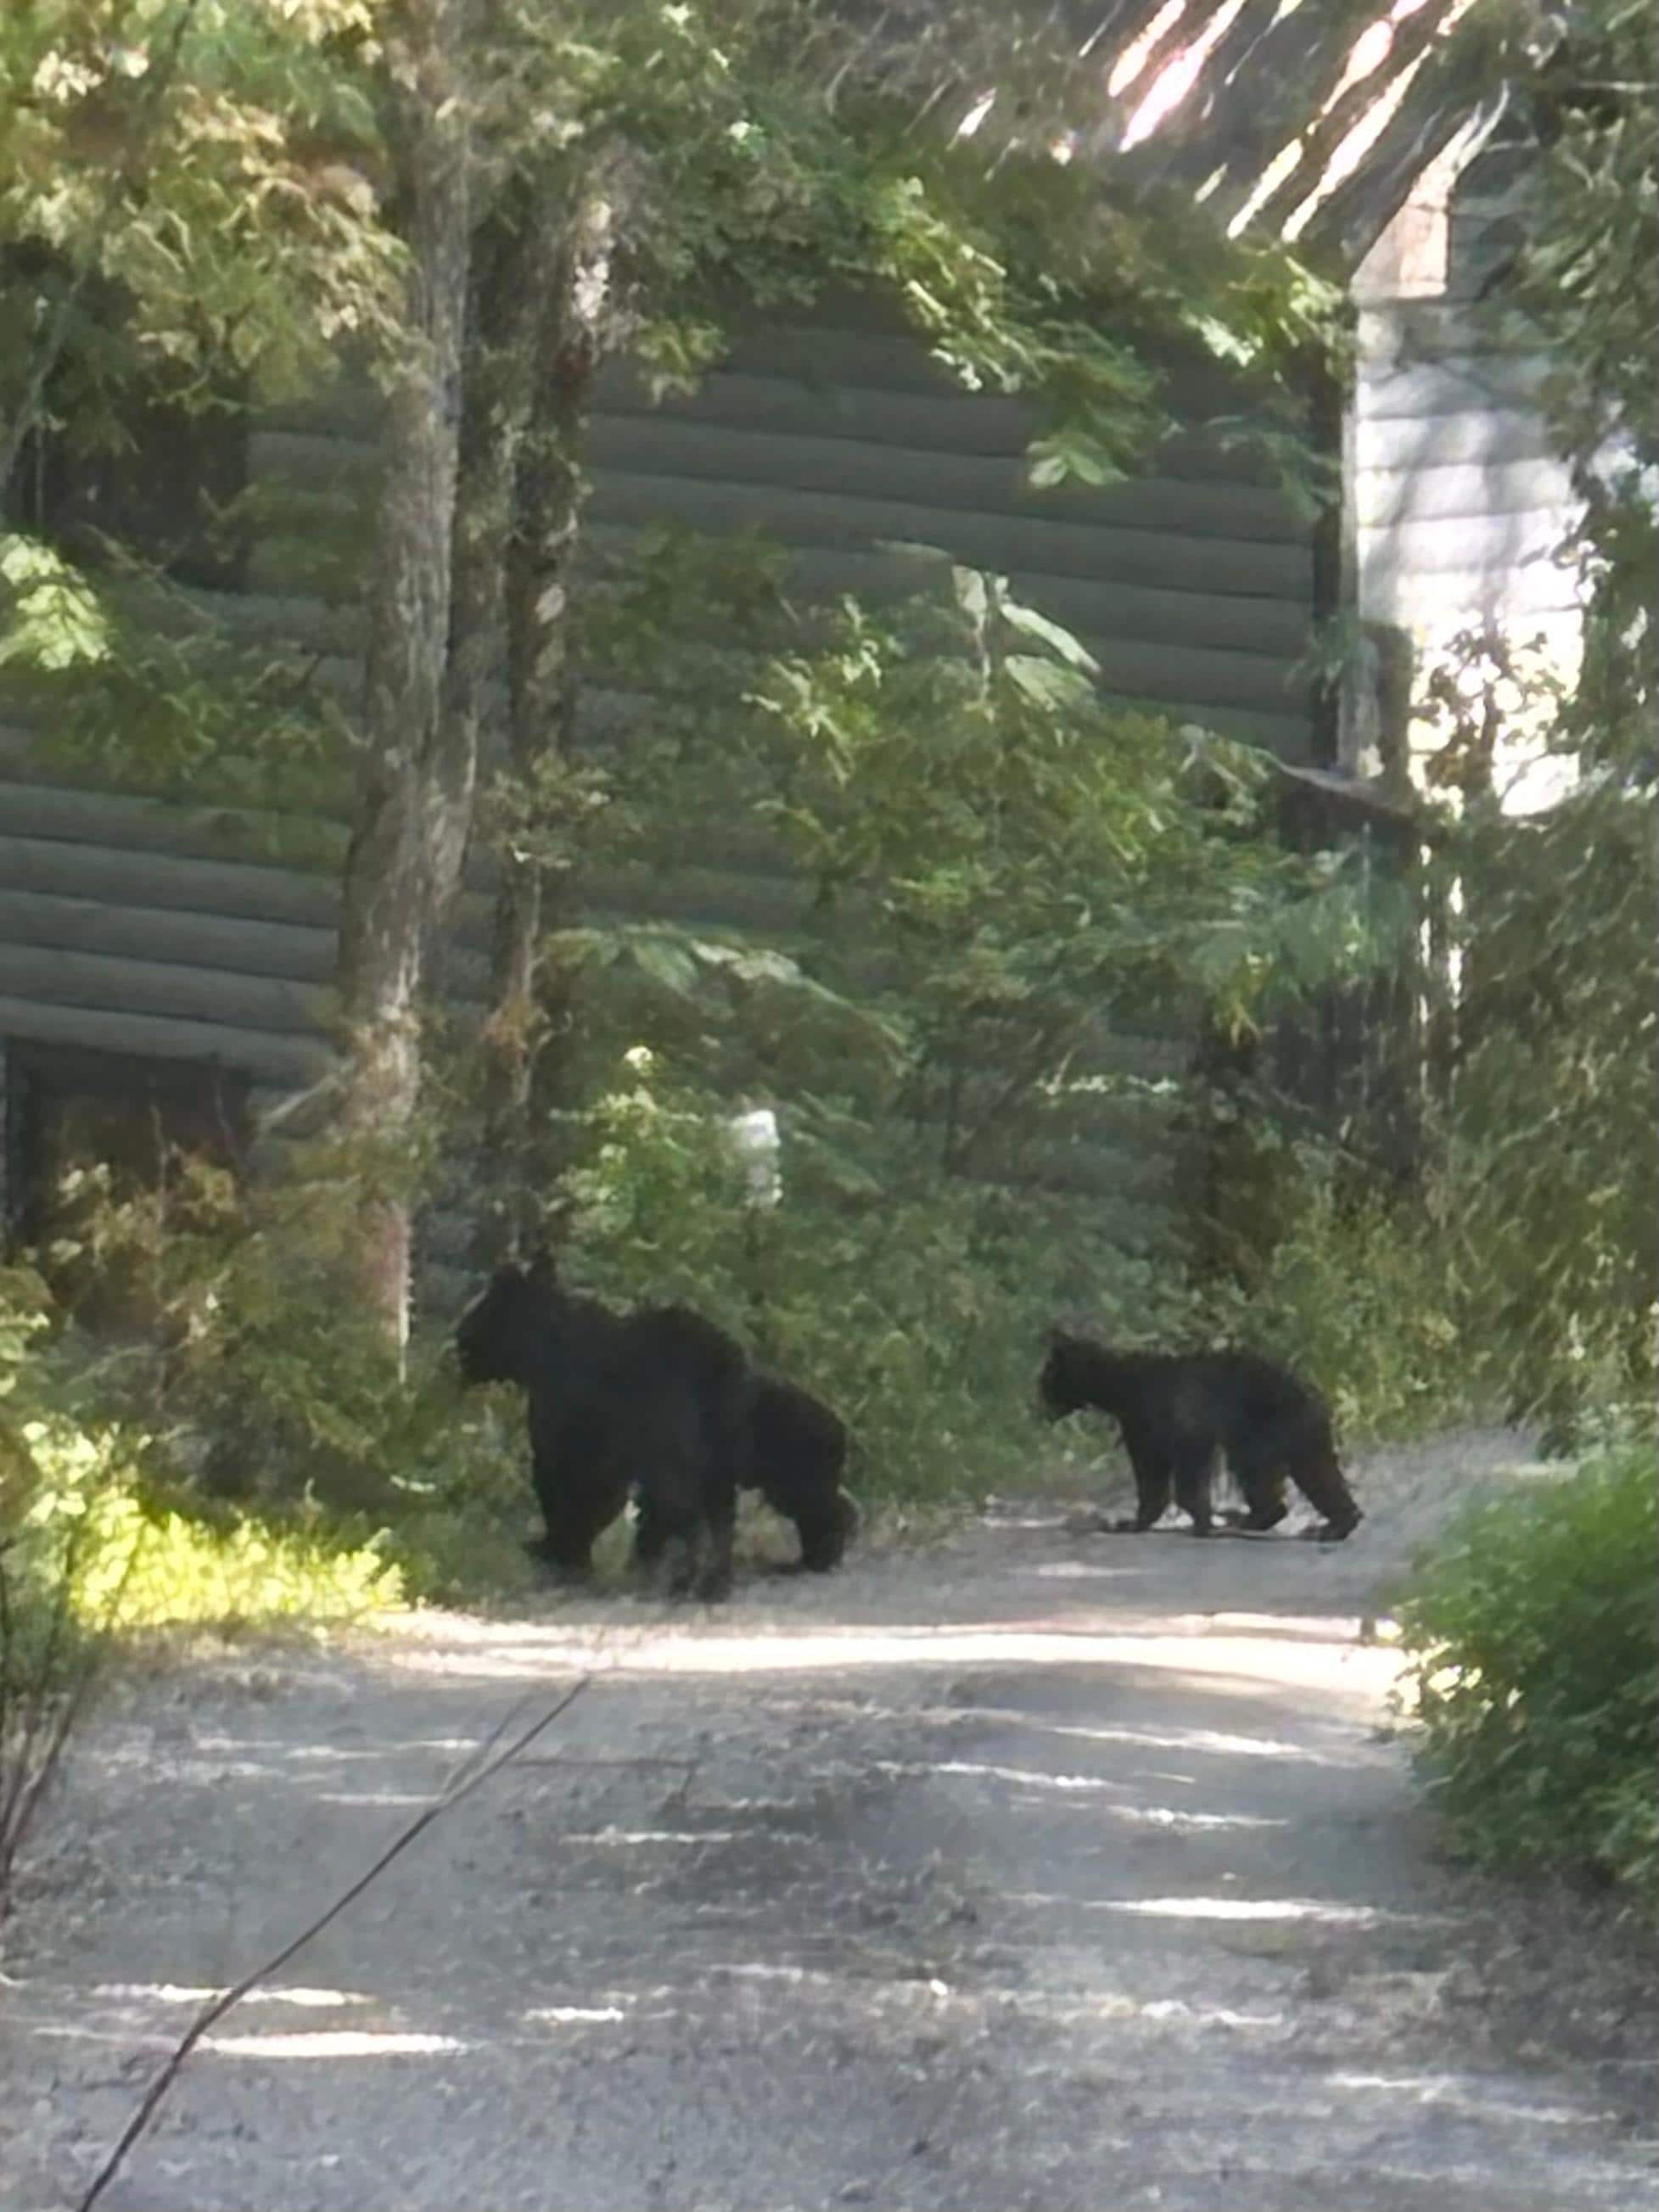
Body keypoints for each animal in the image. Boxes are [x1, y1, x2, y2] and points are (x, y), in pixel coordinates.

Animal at [455, 1253, 751, 1600]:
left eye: (488, 1306)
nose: (459, 1337)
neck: (538, 1356)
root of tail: (720, 1362)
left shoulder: (566, 1431)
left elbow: (565, 1490)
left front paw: (564, 1553)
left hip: (674, 1440)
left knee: (686, 1507)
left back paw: (684, 1579)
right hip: (723, 1444)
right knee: (721, 1511)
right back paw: (714, 1581)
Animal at [1037, 1331, 1362, 1542]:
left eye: (1044, 1382)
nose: (1038, 1407)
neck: (1123, 1389)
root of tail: (1317, 1399)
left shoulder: (1163, 1420)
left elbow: (1167, 1469)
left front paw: (1188, 1521)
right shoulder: (1148, 1428)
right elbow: (1160, 1470)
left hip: (1270, 1431)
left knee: (1266, 1472)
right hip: (1295, 1438)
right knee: (1314, 1474)